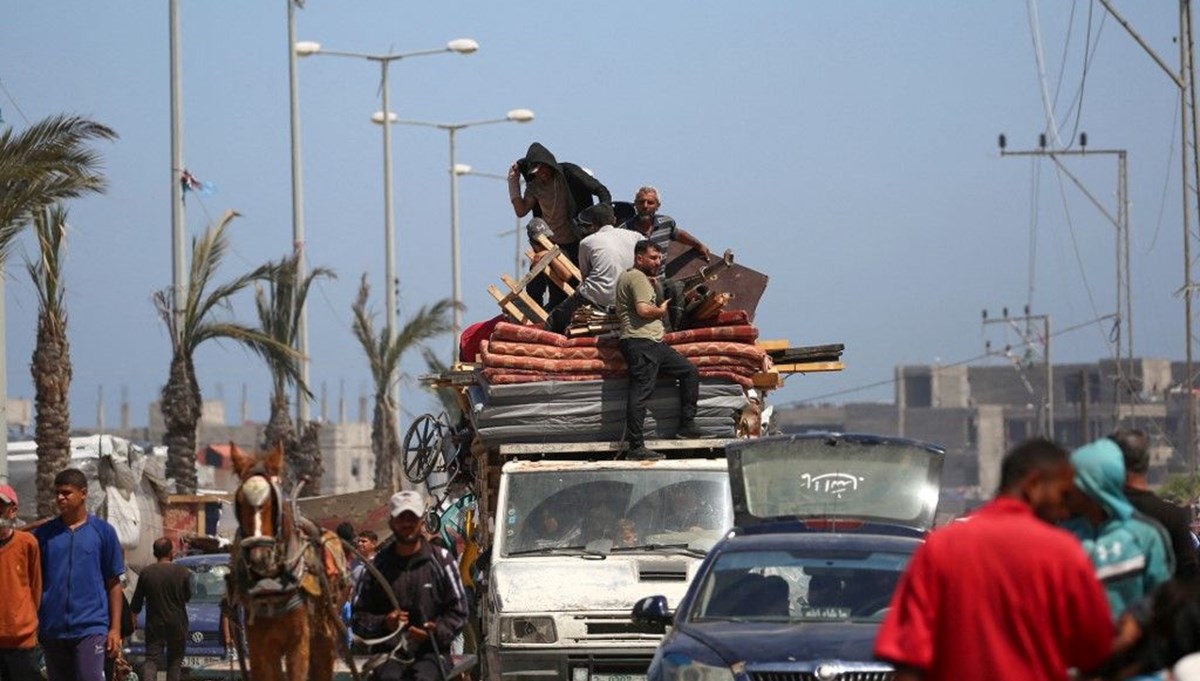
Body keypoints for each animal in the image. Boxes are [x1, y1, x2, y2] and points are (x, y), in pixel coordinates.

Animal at [228, 441, 350, 681]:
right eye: (239, 502)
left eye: (272, 503)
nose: (260, 556)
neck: (272, 585)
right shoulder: (259, 645)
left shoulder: (299, 644)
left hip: (325, 632)